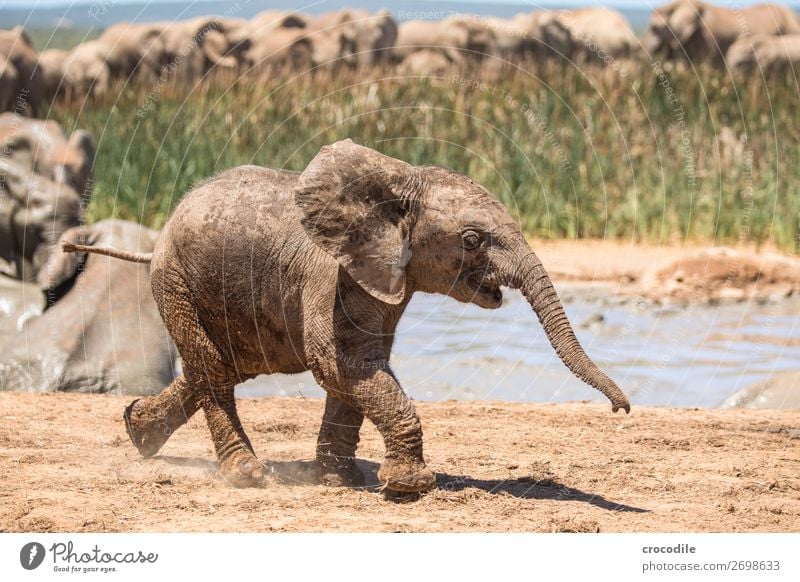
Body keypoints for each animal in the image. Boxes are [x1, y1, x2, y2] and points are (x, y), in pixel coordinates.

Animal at [67, 139, 632, 496]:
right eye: (472, 239)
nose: (621, 410)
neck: (396, 183)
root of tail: (157, 237)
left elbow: (358, 366)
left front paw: (340, 481)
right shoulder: (330, 274)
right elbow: (339, 362)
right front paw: (408, 488)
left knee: (228, 363)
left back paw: (137, 431)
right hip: (175, 280)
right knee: (216, 368)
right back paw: (245, 475)